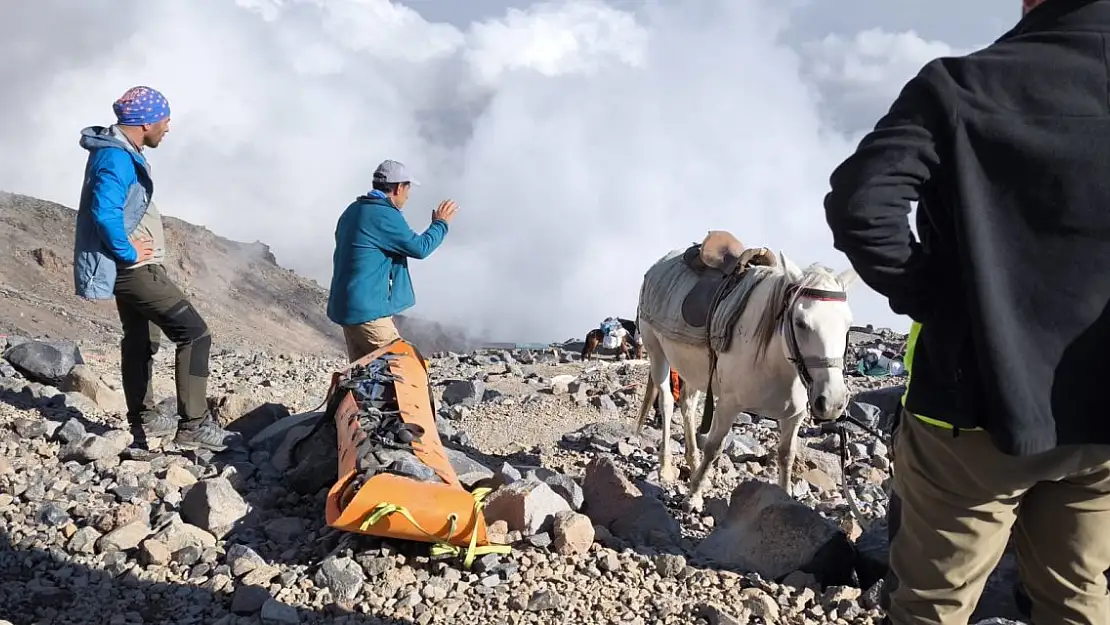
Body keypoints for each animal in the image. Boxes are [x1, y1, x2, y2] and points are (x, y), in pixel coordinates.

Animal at [634, 247, 856, 510]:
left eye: (848, 324)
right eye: (800, 323)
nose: (832, 402)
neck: (774, 361)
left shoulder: (794, 416)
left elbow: (786, 455)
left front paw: (785, 498)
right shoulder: (728, 405)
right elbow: (714, 447)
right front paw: (693, 497)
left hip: (693, 370)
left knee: (687, 404)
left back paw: (692, 462)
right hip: (657, 352)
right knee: (667, 403)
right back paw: (666, 468)